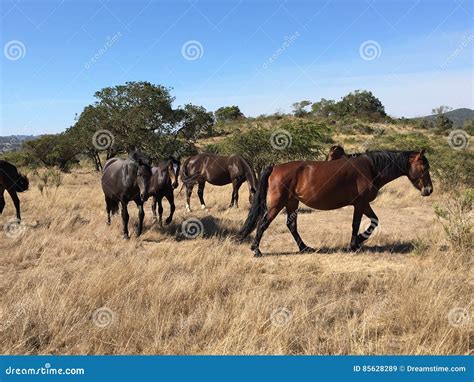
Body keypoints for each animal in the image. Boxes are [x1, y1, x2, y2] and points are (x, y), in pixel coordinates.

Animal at [241, 149, 434, 256]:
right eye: (424, 167)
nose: (429, 190)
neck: (371, 167)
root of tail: (275, 167)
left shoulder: (363, 204)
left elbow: (374, 220)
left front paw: (358, 241)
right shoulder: (360, 203)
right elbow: (356, 224)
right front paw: (355, 243)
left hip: (292, 203)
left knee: (291, 225)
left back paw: (305, 248)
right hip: (277, 204)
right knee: (263, 223)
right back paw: (256, 250)